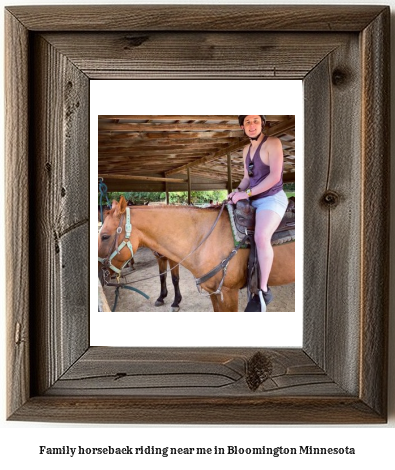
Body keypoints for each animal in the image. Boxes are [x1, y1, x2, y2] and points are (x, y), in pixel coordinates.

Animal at [100, 196, 294, 312]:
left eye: (104, 236)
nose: (101, 275)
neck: (207, 237)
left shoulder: (228, 294)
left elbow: (173, 278)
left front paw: (175, 302)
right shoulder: (214, 293)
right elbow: (163, 276)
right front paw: (163, 298)